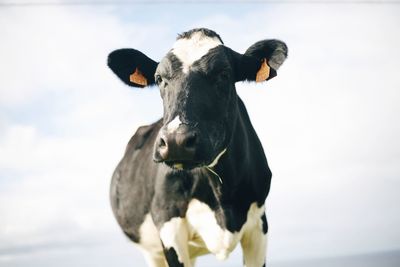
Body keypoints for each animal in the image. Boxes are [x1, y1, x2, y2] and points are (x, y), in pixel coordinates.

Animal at [107, 28, 288, 266]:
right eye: (159, 78)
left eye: (224, 74)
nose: (176, 141)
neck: (223, 197)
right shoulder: (168, 223)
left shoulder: (259, 224)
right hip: (151, 251)